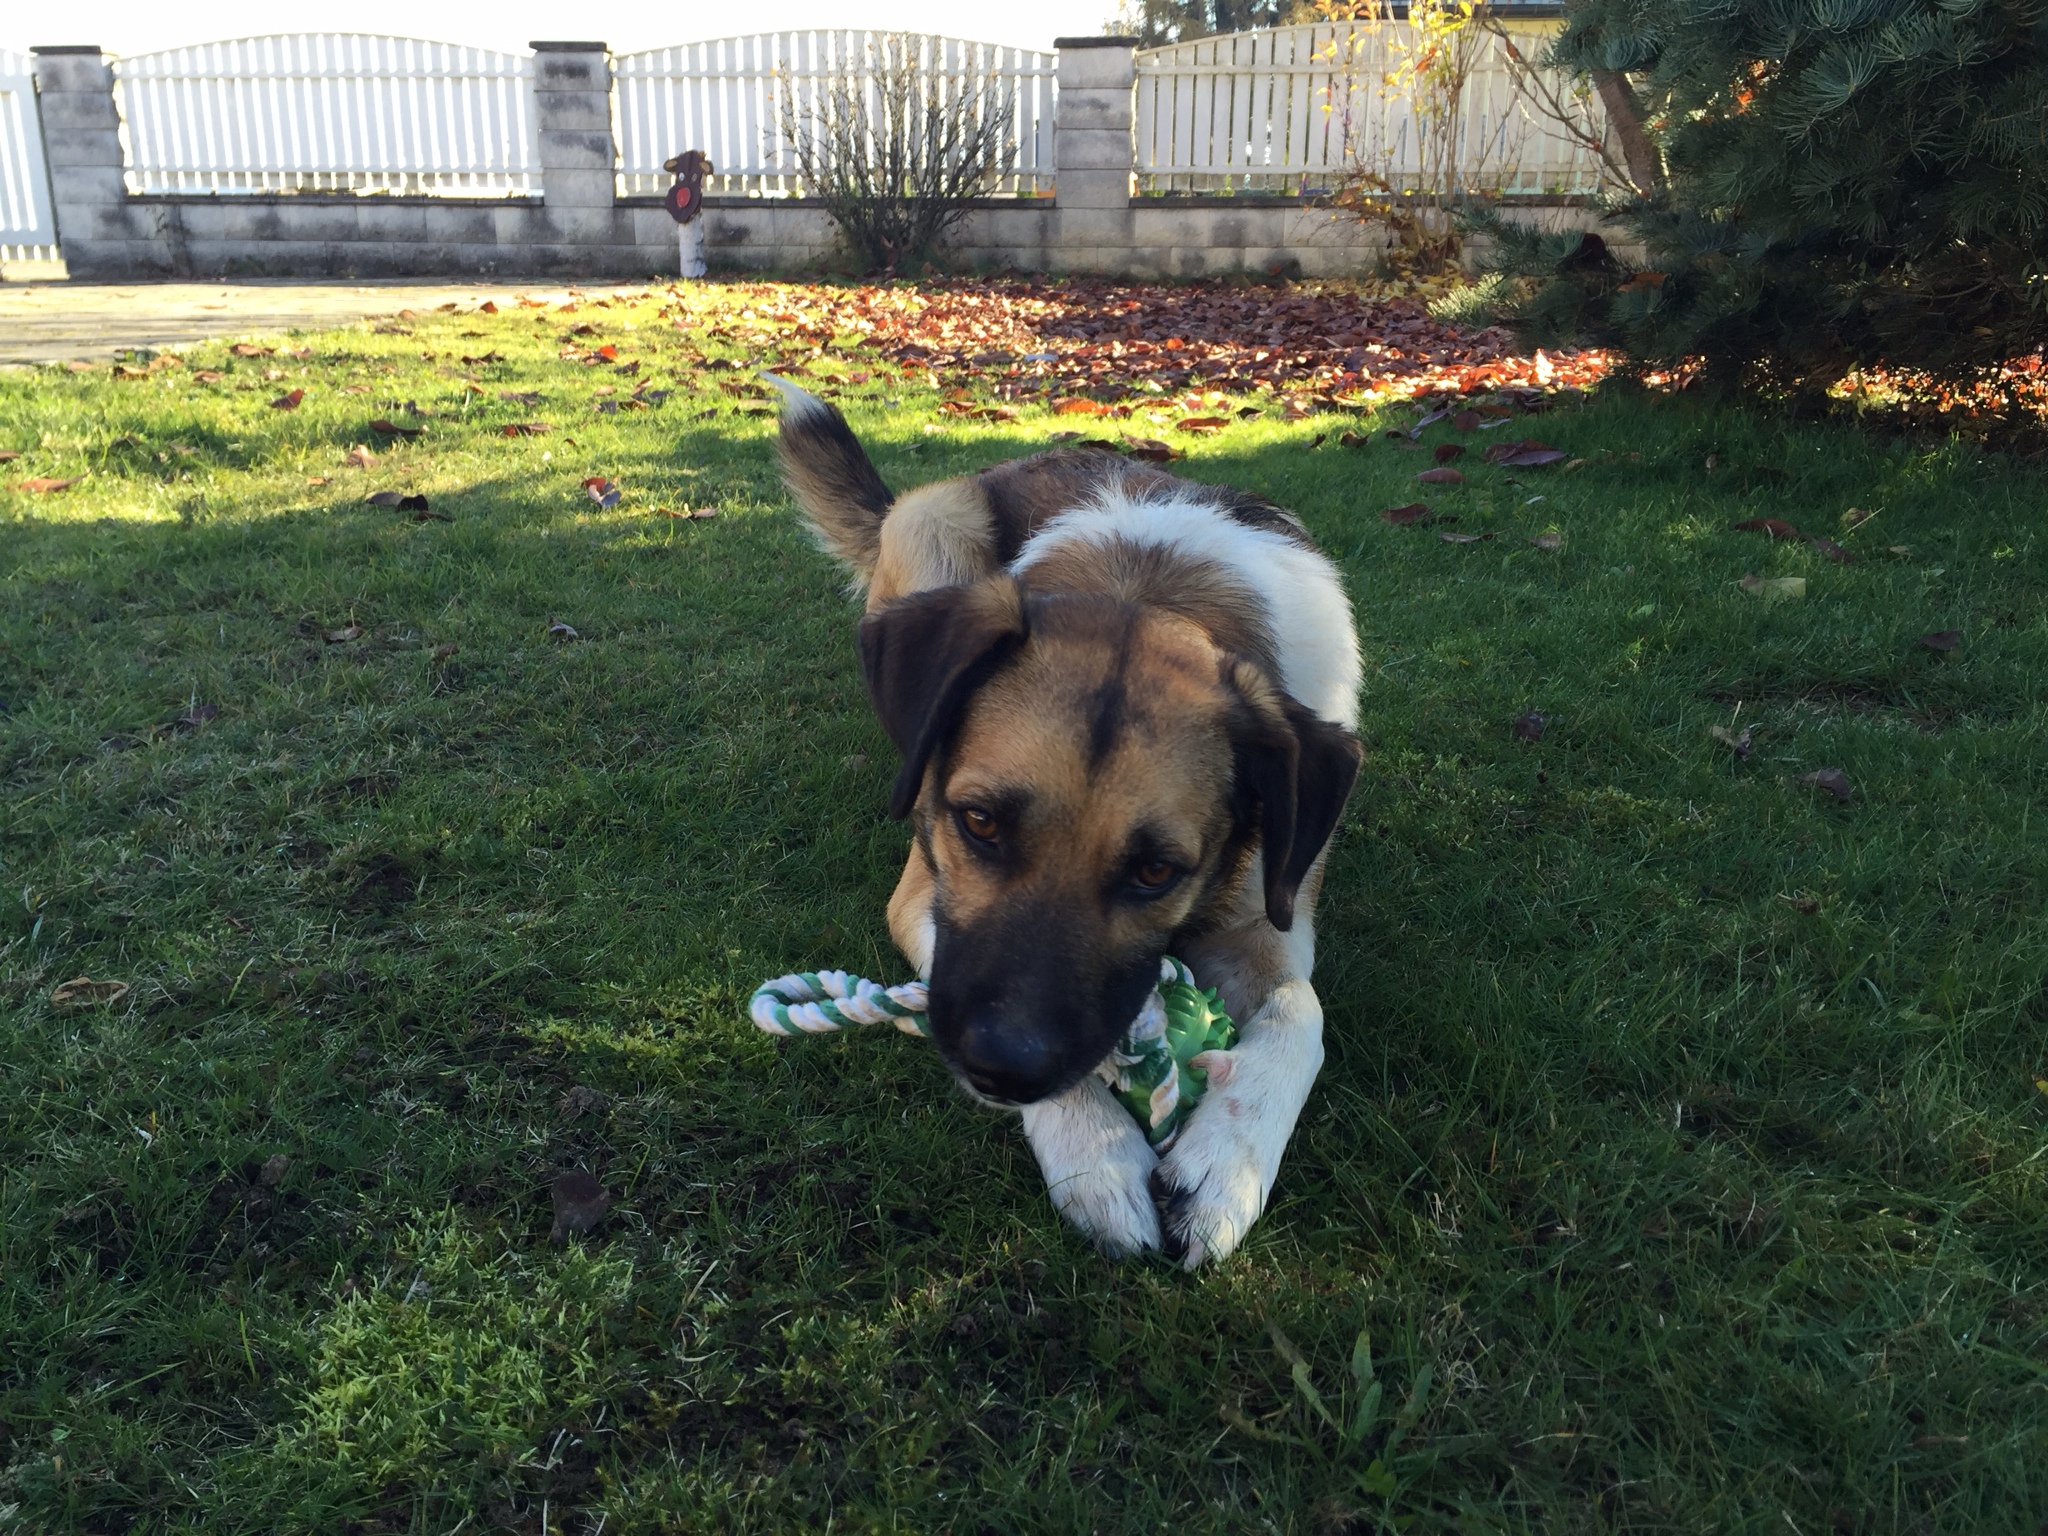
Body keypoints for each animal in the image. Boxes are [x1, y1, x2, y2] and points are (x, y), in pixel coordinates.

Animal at [772, 377, 1363, 1266]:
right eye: (979, 822)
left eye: (1156, 871)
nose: (1004, 1073)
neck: (1146, 588)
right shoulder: (926, 897)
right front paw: (1096, 1153)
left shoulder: (1270, 912)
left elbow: (1302, 1010)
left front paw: (1228, 1164)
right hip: (931, 518)